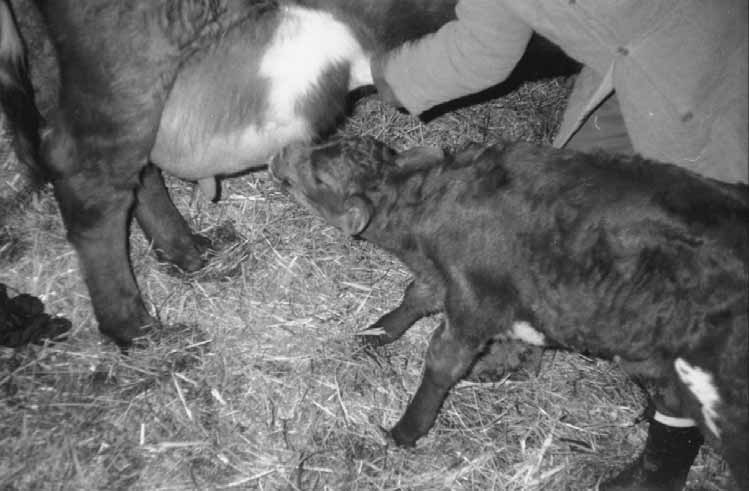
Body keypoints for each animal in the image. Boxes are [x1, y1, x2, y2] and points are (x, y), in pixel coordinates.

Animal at [270, 137, 748, 491]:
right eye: (328, 142)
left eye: (318, 177)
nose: (279, 151)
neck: (426, 211)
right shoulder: (446, 279)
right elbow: (417, 295)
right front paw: (378, 330)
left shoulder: (475, 300)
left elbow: (441, 362)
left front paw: (404, 431)